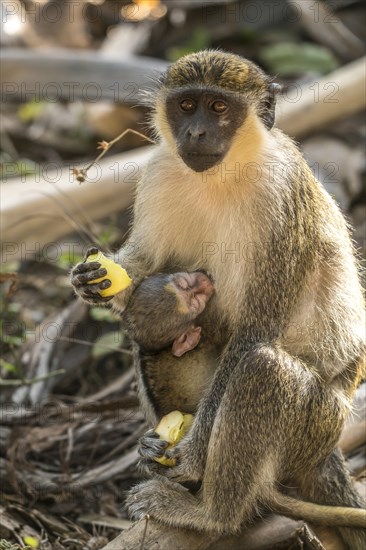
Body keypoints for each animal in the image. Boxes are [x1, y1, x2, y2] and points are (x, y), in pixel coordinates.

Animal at [70, 52, 364, 548]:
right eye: (187, 105)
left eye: (219, 107)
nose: (196, 133)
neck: (224, 175)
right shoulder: (158, 174)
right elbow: (146, 266)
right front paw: (99, 278)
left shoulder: (281, 197)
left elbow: (255, 333)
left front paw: (190, 457)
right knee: (150, 346)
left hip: (317, 425)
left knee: (261, 369)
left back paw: (211, 514)